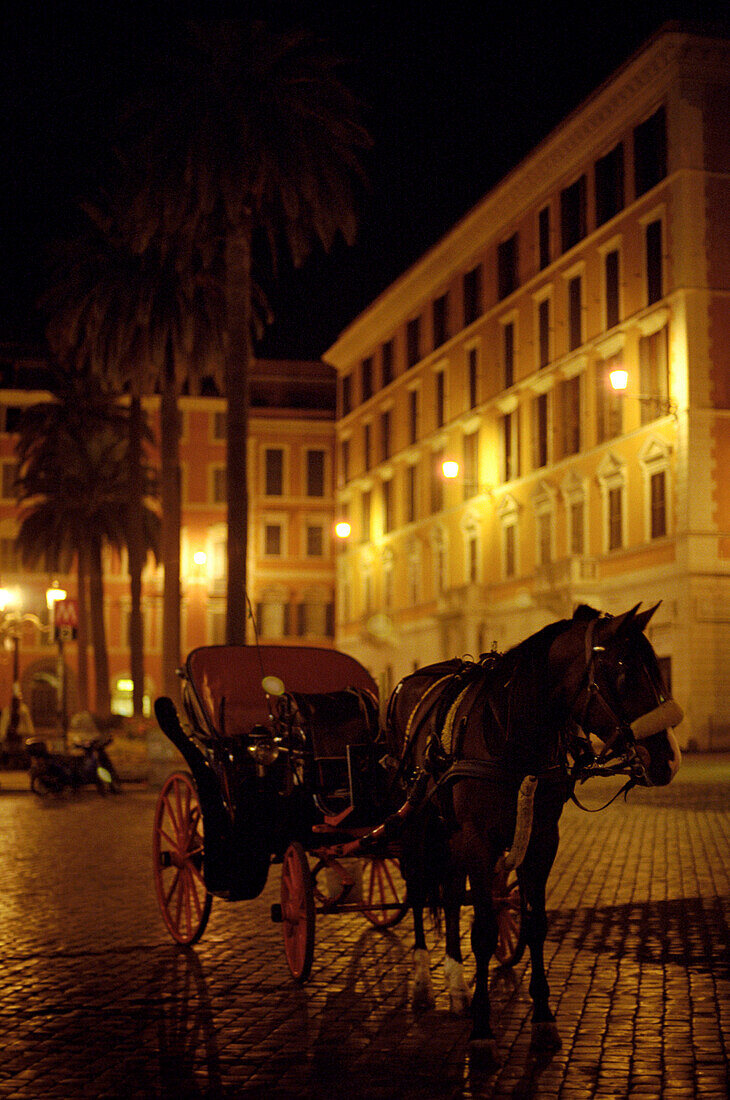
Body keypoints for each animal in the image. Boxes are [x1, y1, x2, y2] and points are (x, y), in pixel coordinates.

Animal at [386, 607, 686, 1060]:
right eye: (622, 670)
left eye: (655, 666)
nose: (670, 757)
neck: (508, 733)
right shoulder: (478, 840)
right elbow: (484, 931)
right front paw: (482, 1031)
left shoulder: (542, 839)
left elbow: (535, 923)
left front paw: (543, 1020)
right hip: (419, 822)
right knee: (421, 890)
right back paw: (423, 982)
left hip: (450, 832)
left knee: (451, 894)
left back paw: (455, 985)